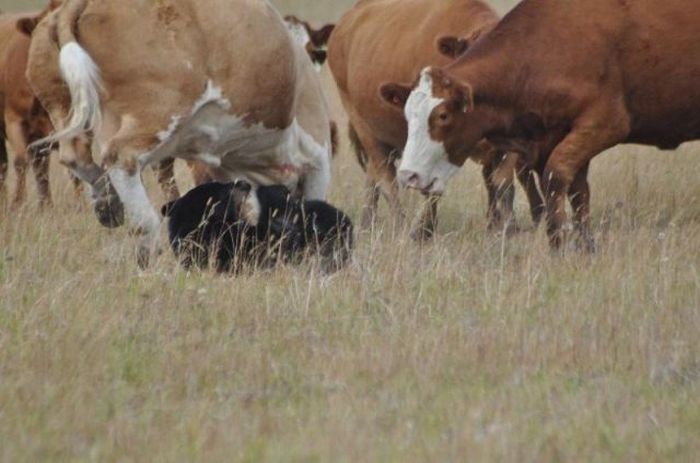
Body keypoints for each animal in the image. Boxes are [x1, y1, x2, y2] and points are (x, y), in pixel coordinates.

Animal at [28, 0, 334, 268]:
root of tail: (83, 3)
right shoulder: (317, 153)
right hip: (159, 108)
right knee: (120, 158)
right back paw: (147, 242)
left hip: (66, 105)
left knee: (76, 155)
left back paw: (108, 203)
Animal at [326, 0, 544, 239]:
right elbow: (430, 186)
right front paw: (423, 231)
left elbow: (502, 183)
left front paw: (504, 228)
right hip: (365, 130)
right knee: (387, 181)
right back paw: (398, 228)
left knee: (373, 176)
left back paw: (368, 223)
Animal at [386, 0, 700, 250]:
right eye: (408, 115)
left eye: (443, 116)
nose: (409, 175)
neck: (549, 46)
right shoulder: (551, 137)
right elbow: (578, 192)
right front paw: (584, 246)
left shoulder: (604, 125)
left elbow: (555, 177)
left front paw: (559, 243)